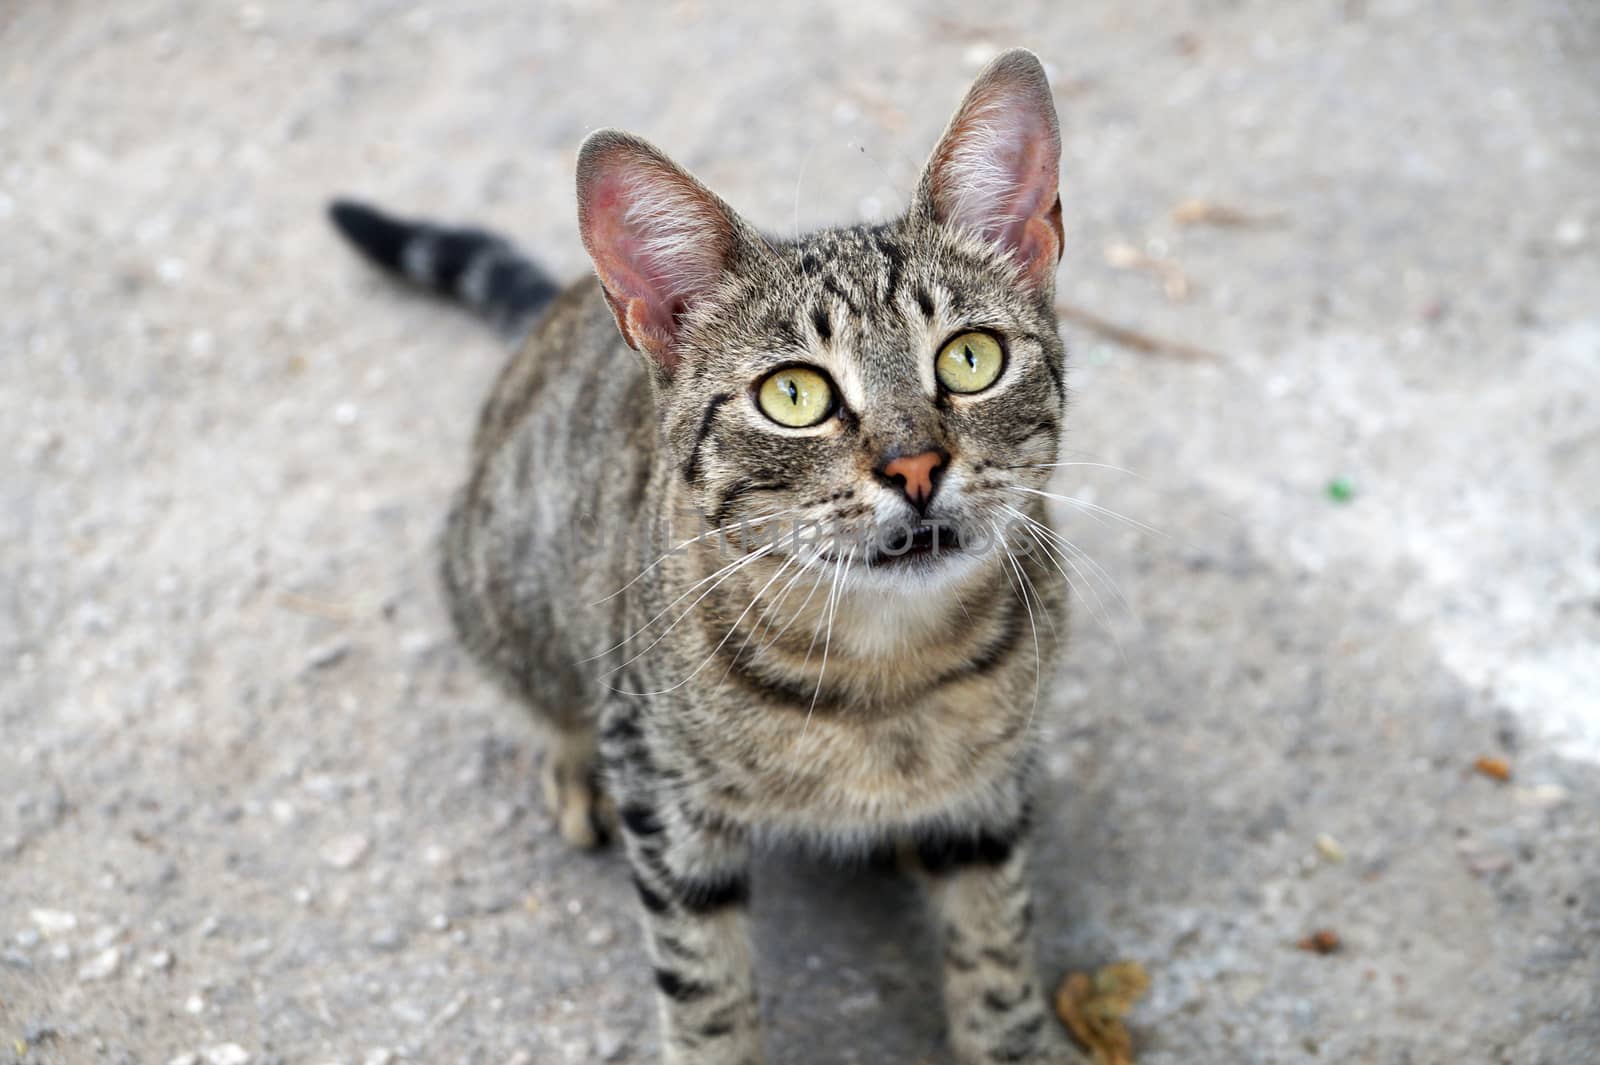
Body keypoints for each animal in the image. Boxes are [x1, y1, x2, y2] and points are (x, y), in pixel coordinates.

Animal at [331, 47, 1081, 1061]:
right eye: (795, 394)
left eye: (970, 359)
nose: (916, 464)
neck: (884, 674)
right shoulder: (663, 795)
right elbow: (705, 986)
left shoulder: (993, 798)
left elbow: (996, 955)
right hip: (506, 589)